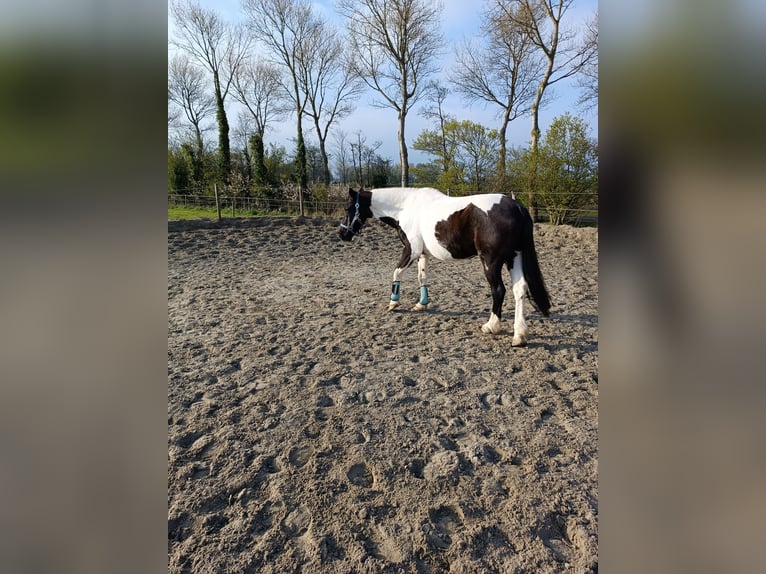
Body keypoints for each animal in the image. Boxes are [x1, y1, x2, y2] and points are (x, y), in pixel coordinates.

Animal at [338, 188, 552, 346]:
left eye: (348, 208)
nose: (342, 234)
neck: (406, 207)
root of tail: (517, 207)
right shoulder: (422, 254)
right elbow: (422, 277)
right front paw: (421, 304)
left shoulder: (411, 250)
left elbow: (396, 272)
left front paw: (393, 302)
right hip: (514, 257)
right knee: (519, 289)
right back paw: (519, 335)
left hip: (491, 261)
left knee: (498, 290)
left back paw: (491, 326)